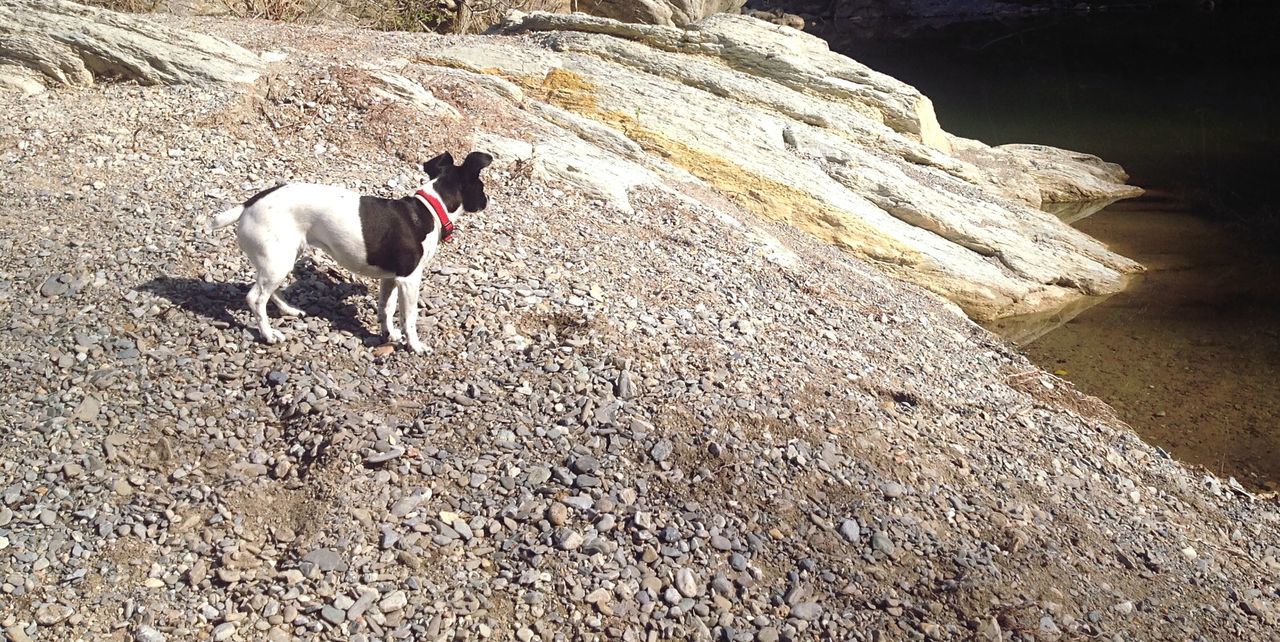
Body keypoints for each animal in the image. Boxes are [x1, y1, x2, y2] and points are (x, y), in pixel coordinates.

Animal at [207, 150, 491, 350]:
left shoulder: (390, 278)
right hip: (278, 262)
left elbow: (386, 308)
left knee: (267, 292)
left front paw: (389, 334)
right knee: (256, 298)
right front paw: (415, 346)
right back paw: (268, 334)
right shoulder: (409, 279)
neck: (431, 208)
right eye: (481, 187)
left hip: (282, 258)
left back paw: (289, 311)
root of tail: (247, 205)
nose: (487, 201)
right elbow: (409, 318)